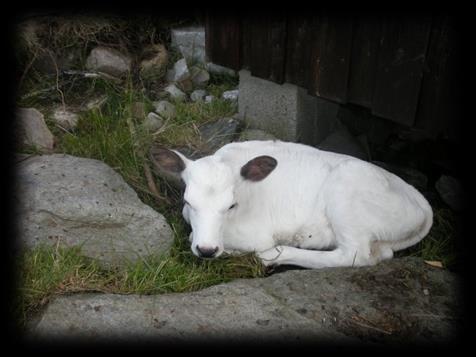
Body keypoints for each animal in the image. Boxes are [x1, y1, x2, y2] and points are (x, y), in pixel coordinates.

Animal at [151, 140, 434, 268]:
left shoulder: (256, 234)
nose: (207, 250)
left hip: (347, 192)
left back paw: (275, 255)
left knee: (354, 255)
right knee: (379, 254)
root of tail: (421, 202)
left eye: (231, 205)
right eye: (188, 201)